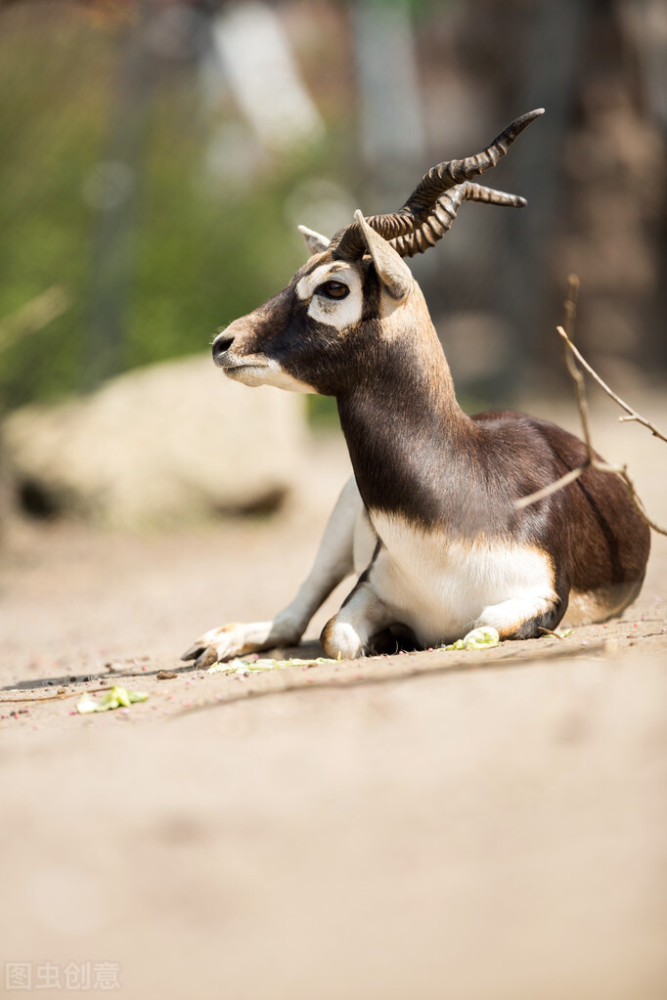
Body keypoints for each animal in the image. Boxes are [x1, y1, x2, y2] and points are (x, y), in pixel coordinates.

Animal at [181, 109, 648, 668]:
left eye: (333, 286)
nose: (224, 343)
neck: (456, 509)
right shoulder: (369, 585)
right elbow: (336, 634)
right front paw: (387, 637)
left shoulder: (543, 596)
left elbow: (483, 624)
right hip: (342, 514)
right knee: (296, 615)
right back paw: (216, 642)